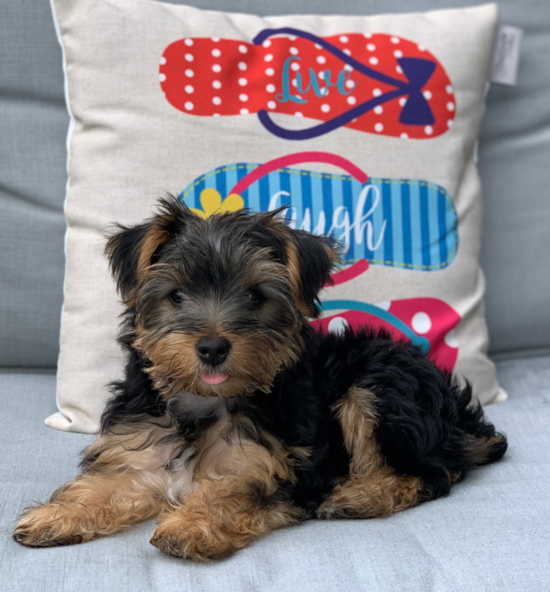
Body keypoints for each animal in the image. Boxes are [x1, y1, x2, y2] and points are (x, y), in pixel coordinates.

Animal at [14, 198, 508, 560]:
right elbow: (108, 483)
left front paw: (192, 524)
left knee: (432, 472)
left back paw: (359, 495)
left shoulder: (271, 463)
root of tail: (458, 411)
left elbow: (234, 490)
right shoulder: (140, 452)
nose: (213, 346)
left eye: (255, 296)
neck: (204, 400)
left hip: (380, 388)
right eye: (176, 296)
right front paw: (57, 515)